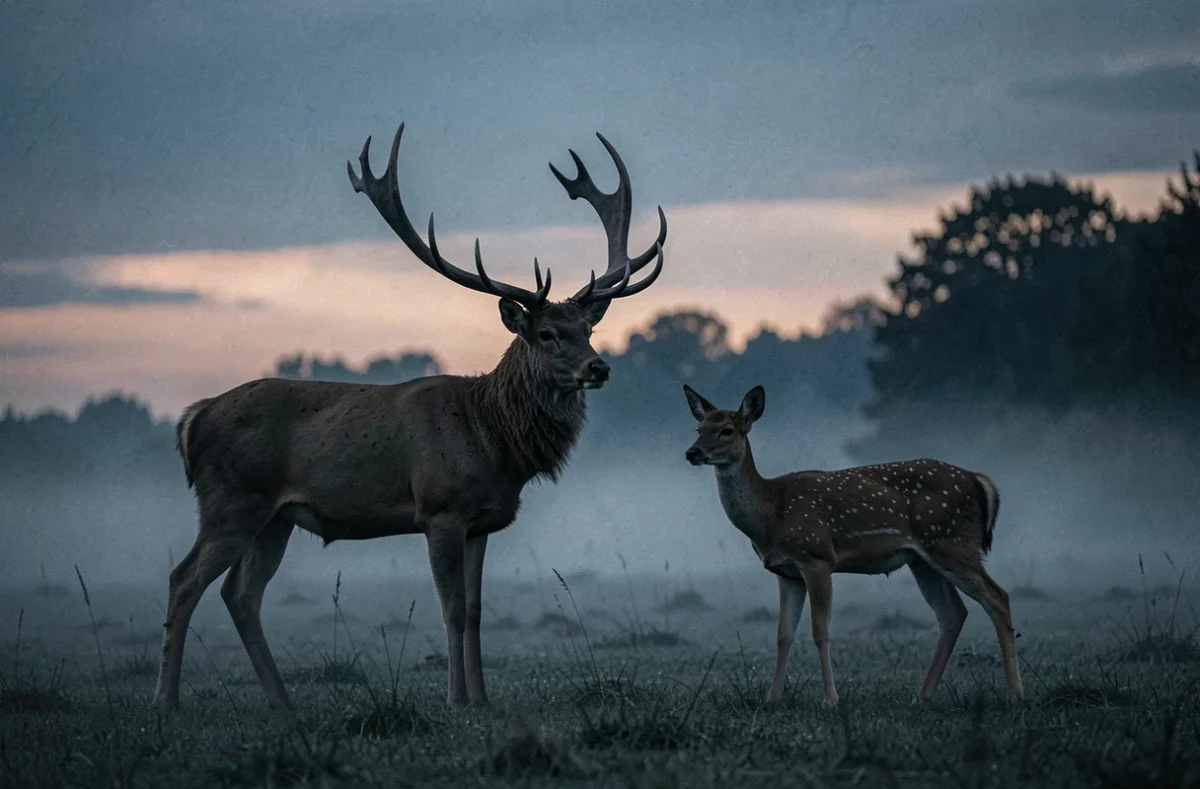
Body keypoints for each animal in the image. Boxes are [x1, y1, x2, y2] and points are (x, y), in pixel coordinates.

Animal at [151, 121, 668, 713]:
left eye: (588, 329)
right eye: (545, 333)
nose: (598, 367)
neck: (493, 441)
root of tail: (193, 419)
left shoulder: (482, 521)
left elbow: (476, 612)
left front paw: (482, 700)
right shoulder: (439, 510)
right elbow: (451, 609)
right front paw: (456, 700)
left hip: (274, 517)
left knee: (240, 594)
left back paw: (282, 702)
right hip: (232, 499)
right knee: (184, 579)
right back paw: (165, 702)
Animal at [682, 384, 1023, 707]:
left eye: (727, 430)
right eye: (699, 428)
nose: (692, 452)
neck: (771, 515)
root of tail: (979, 480)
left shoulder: (817, 557)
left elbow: (820, 631)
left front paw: (830, 700)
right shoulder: (786, 572)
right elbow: (783, 634)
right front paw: (772, 698)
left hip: (952, 543)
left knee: (997, 597)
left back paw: (1014, 693)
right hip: (923, 558)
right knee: (953, 612)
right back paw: (920, 696)